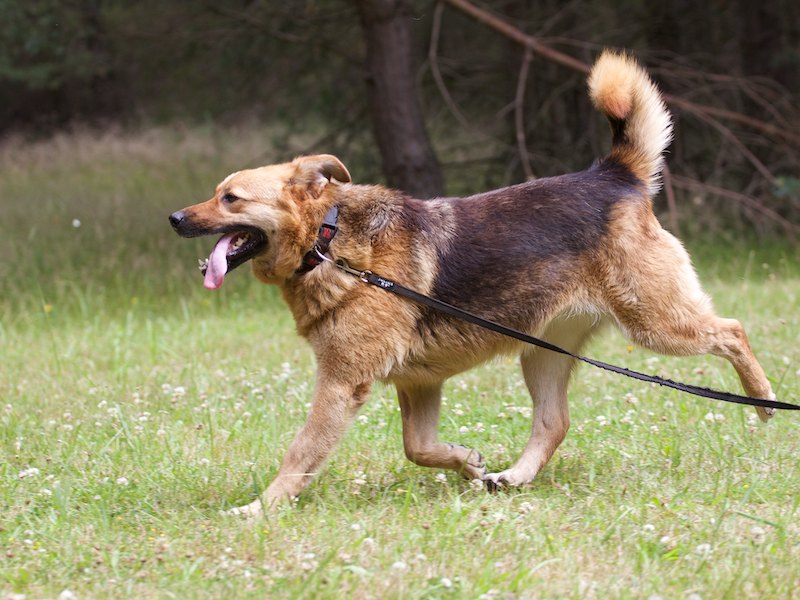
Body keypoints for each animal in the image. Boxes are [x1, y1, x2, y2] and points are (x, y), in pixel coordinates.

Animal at [169, 51, 775, 517]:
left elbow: (299, 456)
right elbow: (419, 448)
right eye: (216, 192)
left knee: (732, 331)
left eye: (231, 198)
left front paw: (261, 509)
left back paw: (765, 400)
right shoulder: (418, 385)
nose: (175, 218)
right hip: (544, 353)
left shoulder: (341, 385)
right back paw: (514, 476)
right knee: (554, 423)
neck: (329, 239)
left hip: (656, 323)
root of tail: (614, 173)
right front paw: (466, 462)